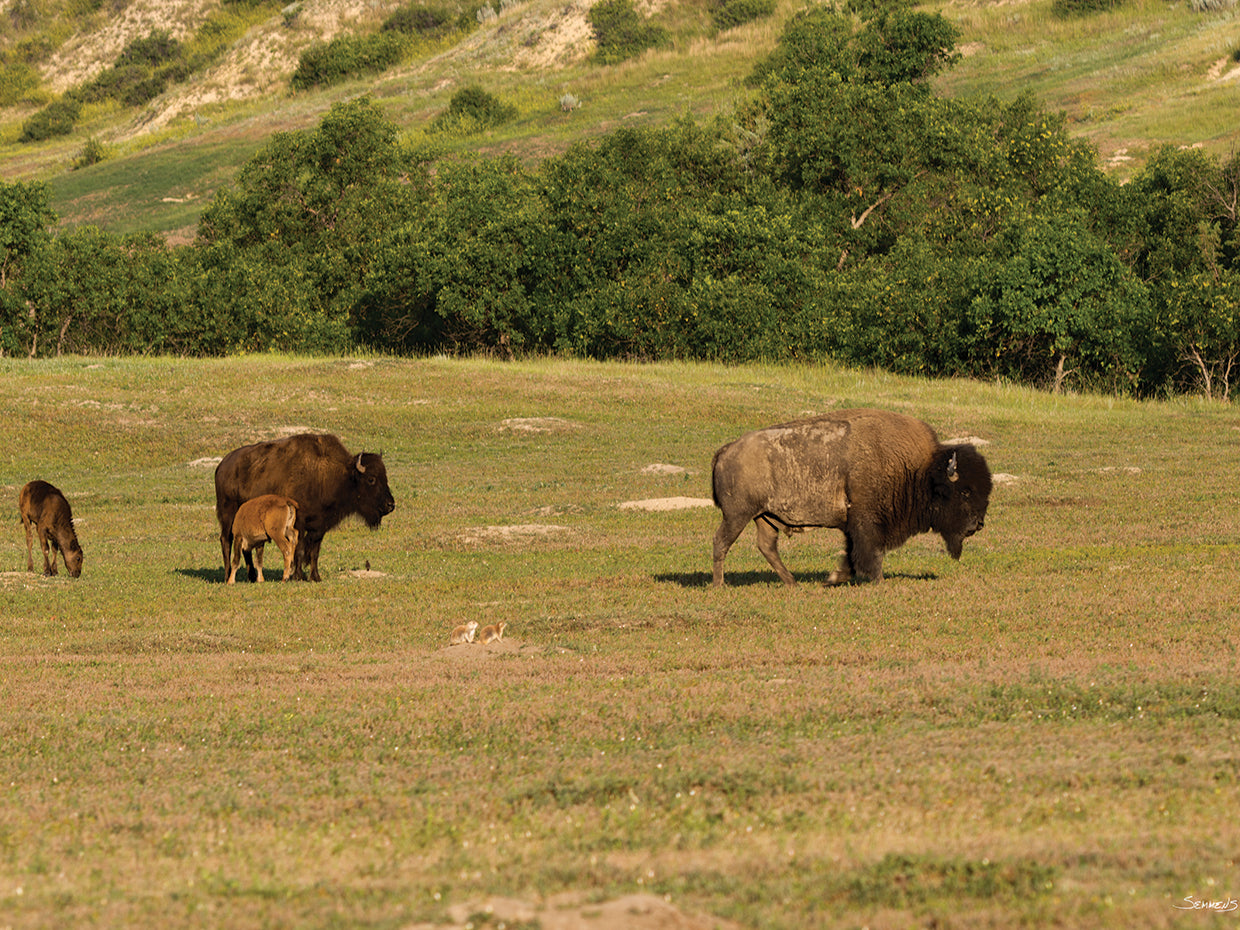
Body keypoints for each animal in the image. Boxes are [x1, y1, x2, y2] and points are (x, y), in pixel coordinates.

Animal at [215, 433, 395, 582]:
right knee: (226, 540)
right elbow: (300, 550)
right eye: (371, 479)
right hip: (228, 515)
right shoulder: (300, 523)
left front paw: (315, 577)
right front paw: (298, 576)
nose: (390, 505)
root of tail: (222, 466)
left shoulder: (320, 527)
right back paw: (227, 576)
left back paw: (252, 576)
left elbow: (314, 552)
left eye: (385, 477)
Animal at [711, 408, 991, 586]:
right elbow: (870, 552)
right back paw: (719, 585)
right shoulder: (866, 521)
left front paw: (835, 577)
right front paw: (877, 580)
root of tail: (727, 449)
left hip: (765, 517)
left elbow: (852, 554)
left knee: (767, 546)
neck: (919, 470)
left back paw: (791, 582)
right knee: (721, 542)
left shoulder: (851, 525)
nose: (978, 524)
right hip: (738, 515)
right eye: (965, 492)